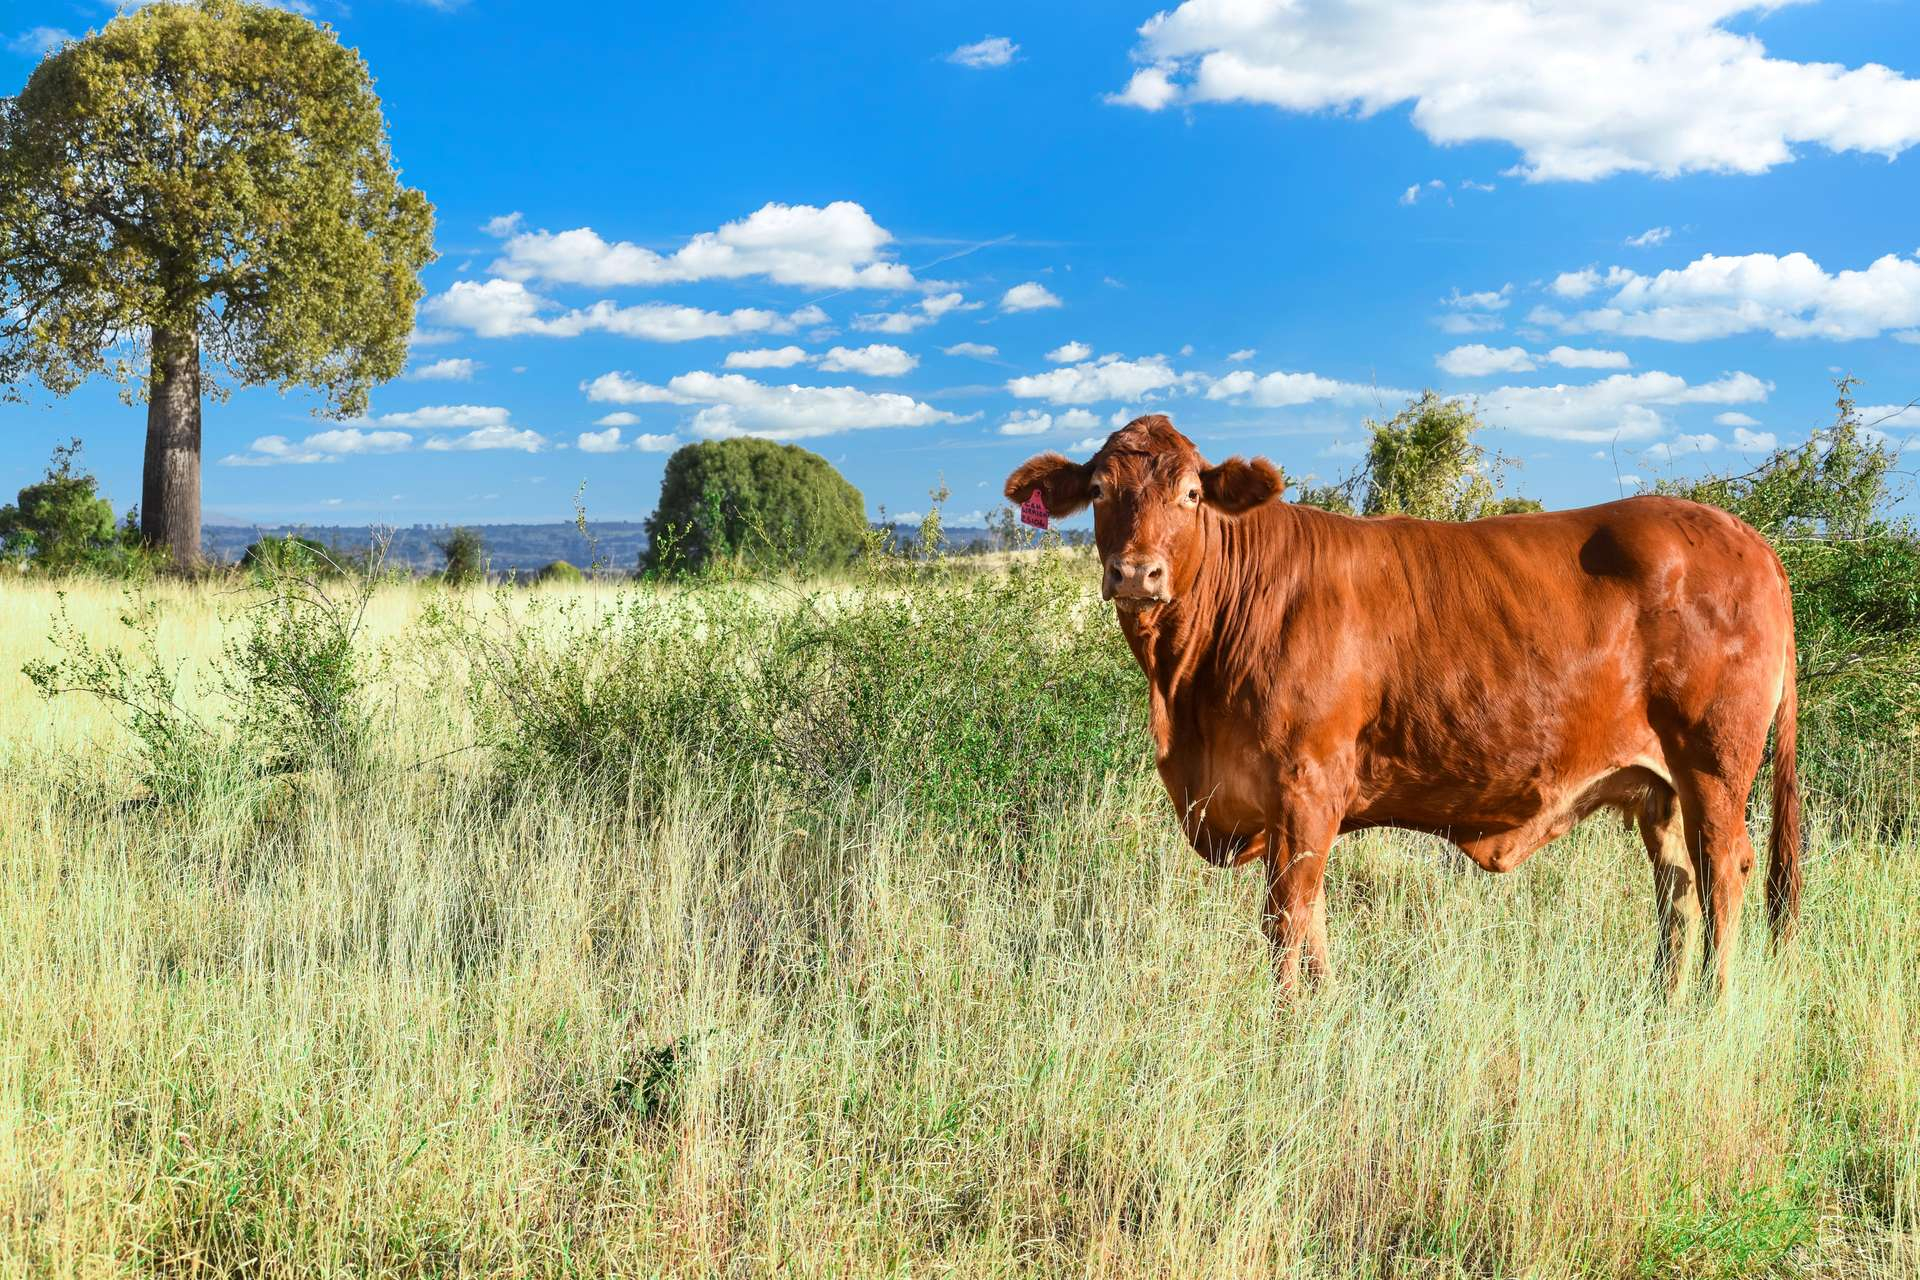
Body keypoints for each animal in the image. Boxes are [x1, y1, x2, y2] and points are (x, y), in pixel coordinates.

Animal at [1006, 414, 1800, 995]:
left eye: (1191, 494)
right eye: (1099, 490)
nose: (1135, 573)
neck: (1185, 694)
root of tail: (1749, 539)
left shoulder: (1306, 784)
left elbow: (1286, 920)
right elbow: (1311, 921)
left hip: (1714, 762)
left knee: (1725, 870)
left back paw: (1713, 1006)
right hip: (1657, 784)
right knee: (1678, 886)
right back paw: (1666, 1001)